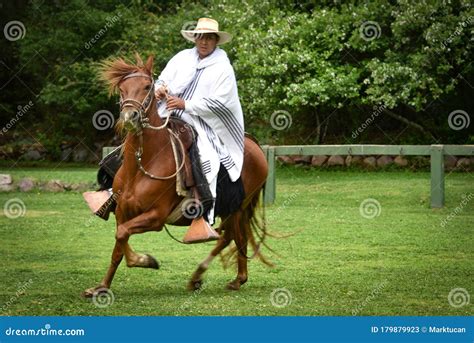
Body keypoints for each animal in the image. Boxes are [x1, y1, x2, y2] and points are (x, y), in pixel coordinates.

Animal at [83, 54, 270, 298]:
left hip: (237, 207)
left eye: (147, 87)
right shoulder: (123, 212)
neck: (143, 164)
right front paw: (102, 287)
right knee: (233, 236)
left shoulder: (156, 217)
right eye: (122, 89)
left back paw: (217, 277)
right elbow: (118, 246)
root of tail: (254, 144)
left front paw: (145, 260)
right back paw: (223, 278)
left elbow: (122, 236)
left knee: (230, 236)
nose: (130, 116)